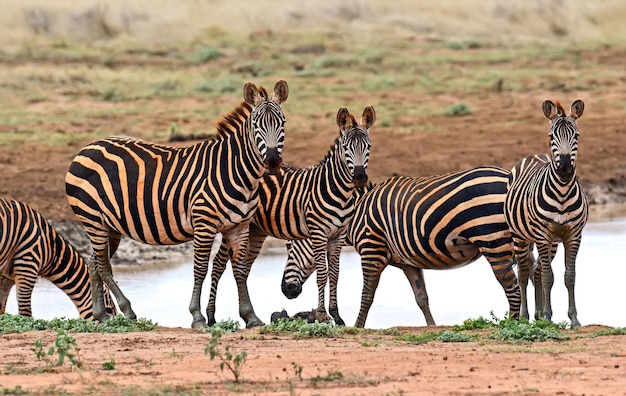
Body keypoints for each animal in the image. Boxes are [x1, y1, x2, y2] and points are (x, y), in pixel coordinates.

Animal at [64, 79, 288, 328]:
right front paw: (197, 316)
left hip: (109, 224)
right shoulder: (204, 223)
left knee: (94, 261)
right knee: (102, 264)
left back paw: (100, 315)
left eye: (282, 123)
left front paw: (251, 316)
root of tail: (87, 147)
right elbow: (200, 269)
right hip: (92, 217)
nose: (272, 161)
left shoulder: (239, 227)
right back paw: (127, 310)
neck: (235, 171)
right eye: (256, 125)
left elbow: (239, 271)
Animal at [210, 105, 376, 324]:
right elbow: (322, 274)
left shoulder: (338, 235)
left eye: (368, 147)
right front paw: (322, 315)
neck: (339, 191)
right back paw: (210, 317)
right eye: (346, 147)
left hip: (255, 229)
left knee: (243, 268)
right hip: (232, 225)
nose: (359, 178)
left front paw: (337, 317)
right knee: (218, 264)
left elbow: (335, 274)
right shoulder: (318, 232)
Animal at [344, 167, 520, 328]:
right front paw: (432, 326)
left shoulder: (371, 249)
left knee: (512, 287)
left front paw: (357, 327)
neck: (356, 210)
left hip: (492, 237)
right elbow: (421, 297)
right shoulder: (408, 263)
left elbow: (367, 295)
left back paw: (512, 324)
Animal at [504, 99, 588, 328]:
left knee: (537, 271)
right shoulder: (543, 235)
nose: (565, 169)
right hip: (520, 236)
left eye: (577, 136)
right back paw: (525, 317)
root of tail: (532, 155)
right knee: (523, 273)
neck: (562, 193)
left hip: (551, 244)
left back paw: (539, 315)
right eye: (551, 137)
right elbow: (549, 276)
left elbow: (570, 276)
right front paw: (549, 316)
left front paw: (574, 319)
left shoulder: (573, 235)